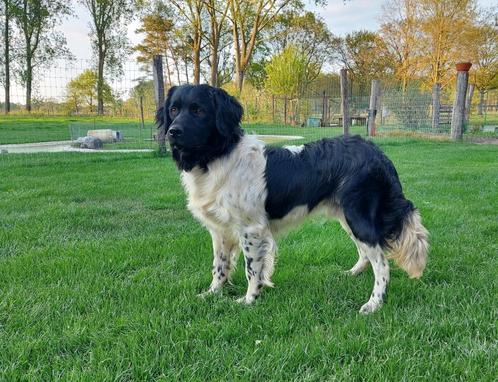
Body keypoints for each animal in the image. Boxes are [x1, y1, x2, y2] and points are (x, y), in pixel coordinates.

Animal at [159, 83, 428, 314]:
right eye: (173, 110)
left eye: (199, 111)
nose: (173, 132)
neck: (217, 157)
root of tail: (377, 152)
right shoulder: (220, 230)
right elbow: (220, 266)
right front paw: (212, 293)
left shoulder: (251, 229)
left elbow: (252, 269)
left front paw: (249, 299)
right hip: (347, 217)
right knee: (365, 253)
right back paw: (353, 274)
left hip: (357, 216)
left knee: (381, 263)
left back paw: (374, 303)